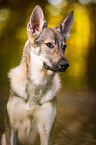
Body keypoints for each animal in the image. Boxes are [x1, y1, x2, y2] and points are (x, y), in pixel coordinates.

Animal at [1, 4, 73, 145]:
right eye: (49, 44)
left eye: (64, 47)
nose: (65, 65)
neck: (38, 82)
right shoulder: (11, 128)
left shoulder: (46, 131)